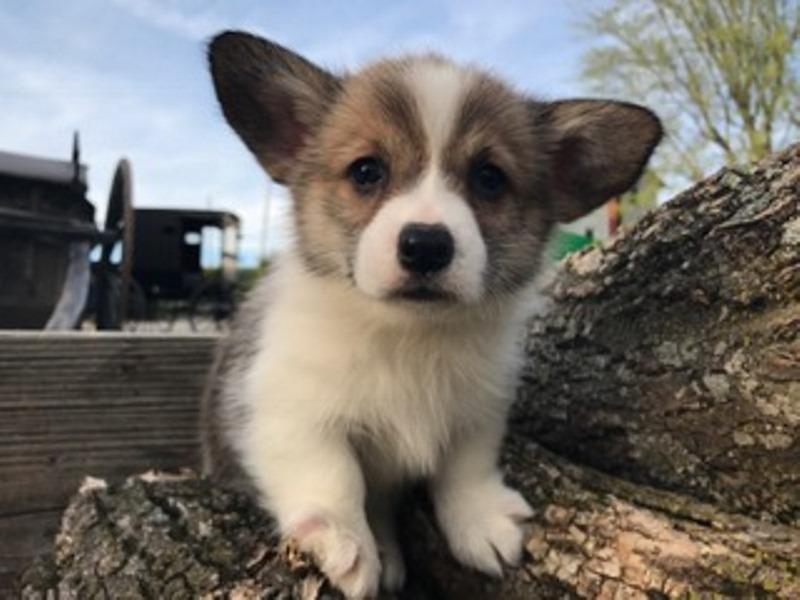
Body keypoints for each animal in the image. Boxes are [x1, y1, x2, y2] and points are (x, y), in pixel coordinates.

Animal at [202, 30, 664, 596]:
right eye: (366, 171)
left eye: (490, 178)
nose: (425, 245)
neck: (409, 335)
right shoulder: (284, 408)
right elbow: (334, 473)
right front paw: (343, 540)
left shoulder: (478, 410)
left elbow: (465, 467)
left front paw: (479, 519)